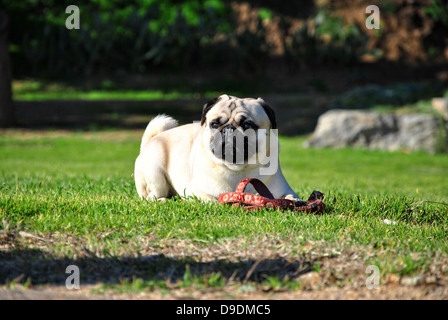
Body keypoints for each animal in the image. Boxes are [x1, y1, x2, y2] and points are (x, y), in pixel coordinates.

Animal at [134, 94, 300, 201]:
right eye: (214, 124)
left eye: (247, 125)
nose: (228, 129)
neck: (237, 169)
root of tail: (152, 139)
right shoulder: (195, 190)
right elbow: (211, 199)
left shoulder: (284, 190)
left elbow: (291, 197)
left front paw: (292, 201)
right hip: (156, 175)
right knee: (151, 196)